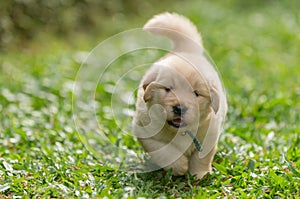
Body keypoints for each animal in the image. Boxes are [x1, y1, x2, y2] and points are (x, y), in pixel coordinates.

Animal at [132, 13, 226, 180]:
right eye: (168, 89)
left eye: (196, 93)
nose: (179, 108)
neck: (180, 130)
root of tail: (185, 50)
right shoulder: (145, 133)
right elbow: (165, 152)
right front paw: (179, 167)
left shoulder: (210, 134)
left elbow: (202, 157)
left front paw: (199, 175)